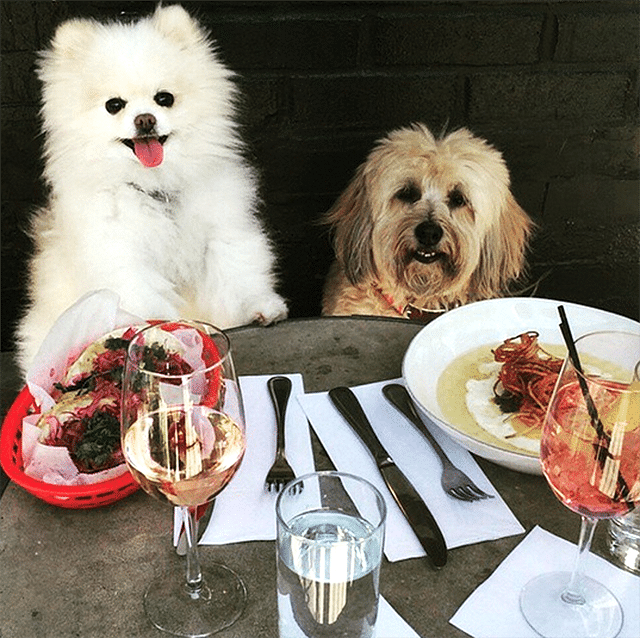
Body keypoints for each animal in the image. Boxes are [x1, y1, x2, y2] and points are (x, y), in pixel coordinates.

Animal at [15, 5, 288, 376]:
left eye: (164, 99)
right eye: (114, 105)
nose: (145, 119)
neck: (155, 188)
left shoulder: (222, 237)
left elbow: (237, 276)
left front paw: (258, 307)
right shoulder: (124, 259)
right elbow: (147, 305)